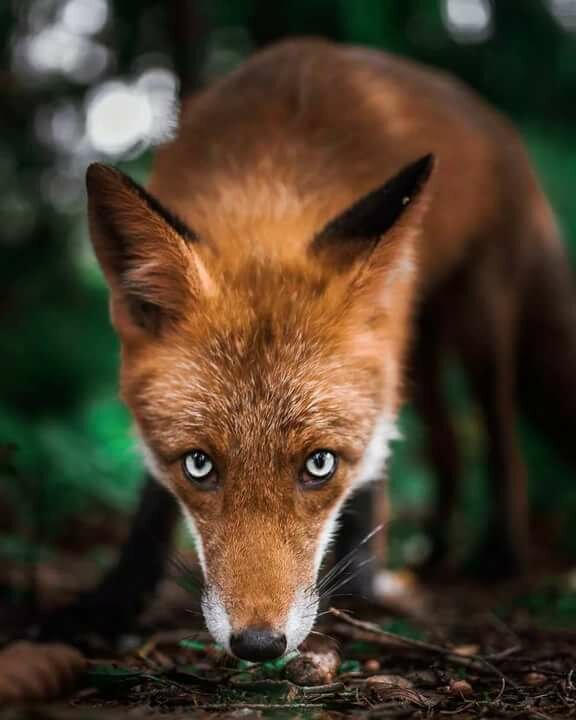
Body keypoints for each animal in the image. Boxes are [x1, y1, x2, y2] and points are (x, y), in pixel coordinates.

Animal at [44, 39, 576, 661]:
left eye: (319, 465)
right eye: (199, 465)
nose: (258, 643)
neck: (270, 179)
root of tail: (493, 119)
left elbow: (371, 472)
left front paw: (362, 585)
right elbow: (152, 496)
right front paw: (114, 600)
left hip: (478, 325)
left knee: (500, 436)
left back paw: (498, 554)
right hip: (421, 352)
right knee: (446, 443)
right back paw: (435, 551)